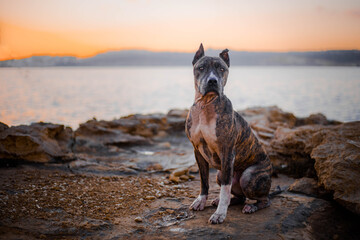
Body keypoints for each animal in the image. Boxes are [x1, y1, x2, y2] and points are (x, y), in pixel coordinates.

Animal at [186, 44, 272, 224]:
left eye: (221, 69)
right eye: (201, 68)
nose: (212, 81)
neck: (206, 105)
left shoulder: (227, 153)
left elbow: (225, 189)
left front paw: (220, 214)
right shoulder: (198, 152)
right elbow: (204, 181)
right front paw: (201, 201)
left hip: (248, 176)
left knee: (265, 199)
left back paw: (252, 207)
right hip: (219, 174)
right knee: (240, 197)